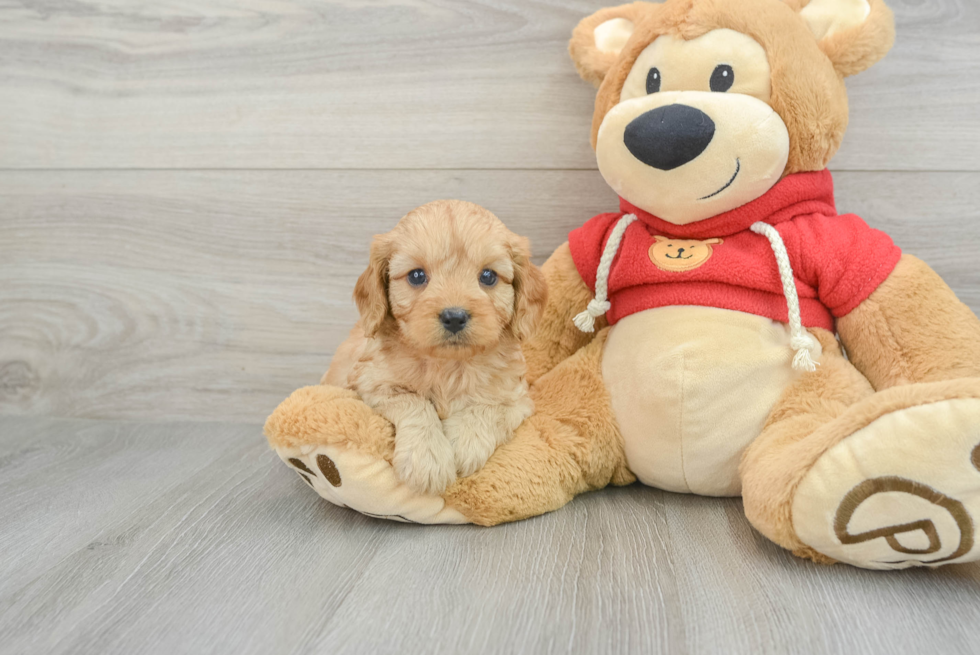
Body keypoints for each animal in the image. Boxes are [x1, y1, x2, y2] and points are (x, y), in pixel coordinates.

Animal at [326, 200, 548, 492]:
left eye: (488, 276)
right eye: (417, 275)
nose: (454, 316)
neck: (448, 365)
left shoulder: (516, 397)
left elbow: (490, 407)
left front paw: (465, 442)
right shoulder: (371, 384)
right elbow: (414, 402)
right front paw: (427, 459)